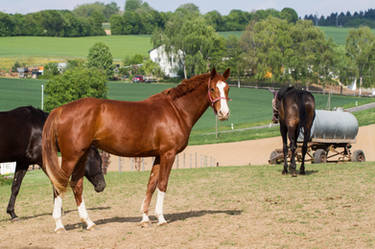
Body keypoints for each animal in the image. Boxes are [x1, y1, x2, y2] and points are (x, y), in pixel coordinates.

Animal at [43, 67, 232, 230]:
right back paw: (59, 225)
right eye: (213, 89)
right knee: (59, 185)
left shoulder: (158, 156)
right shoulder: (168, 154)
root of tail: (61, 109)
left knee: (76, 184)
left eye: (227, 88)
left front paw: (145, 218)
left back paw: (88, 222)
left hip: (81, 156)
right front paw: (161, 218)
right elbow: (162, 184)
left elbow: (151, 184)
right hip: (71, 157)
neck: (176, 110)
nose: (224, 113)